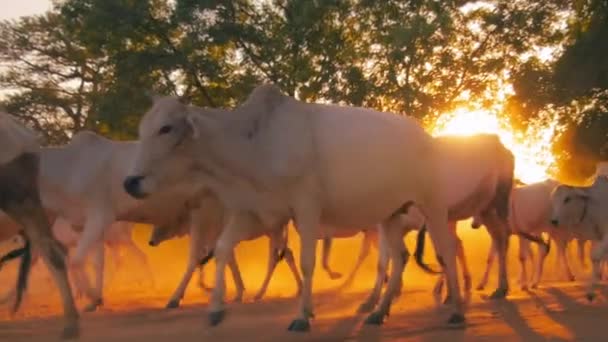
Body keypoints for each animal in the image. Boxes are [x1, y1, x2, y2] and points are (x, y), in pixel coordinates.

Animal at [122, 85, 466, 332]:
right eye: (141, 128)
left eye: (166, 128)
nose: (130, 182)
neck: (255, 144)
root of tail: (424, 134)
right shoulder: (255, 212)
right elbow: (221, 248)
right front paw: (217, 309)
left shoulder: (307, 207)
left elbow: (307, 262)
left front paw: (302, 316)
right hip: (391, 214)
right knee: (399, 257)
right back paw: (378, 312)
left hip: (432, 204)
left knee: (446, 250)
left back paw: (457, 311)